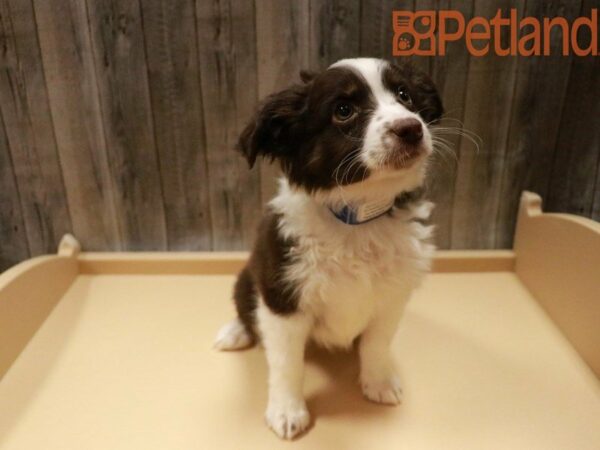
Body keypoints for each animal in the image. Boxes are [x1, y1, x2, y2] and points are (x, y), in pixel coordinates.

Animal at [214, 57, 440, 440]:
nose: (411, 129)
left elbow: (377, 343)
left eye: (404, 95)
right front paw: (287, 411)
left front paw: (378, 383)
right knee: (245, 306)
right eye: (344, 110)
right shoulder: (282, 295)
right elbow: (286, 362)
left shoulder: (394, 294)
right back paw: (235, 332)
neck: (357, 218)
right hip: (251, 276)